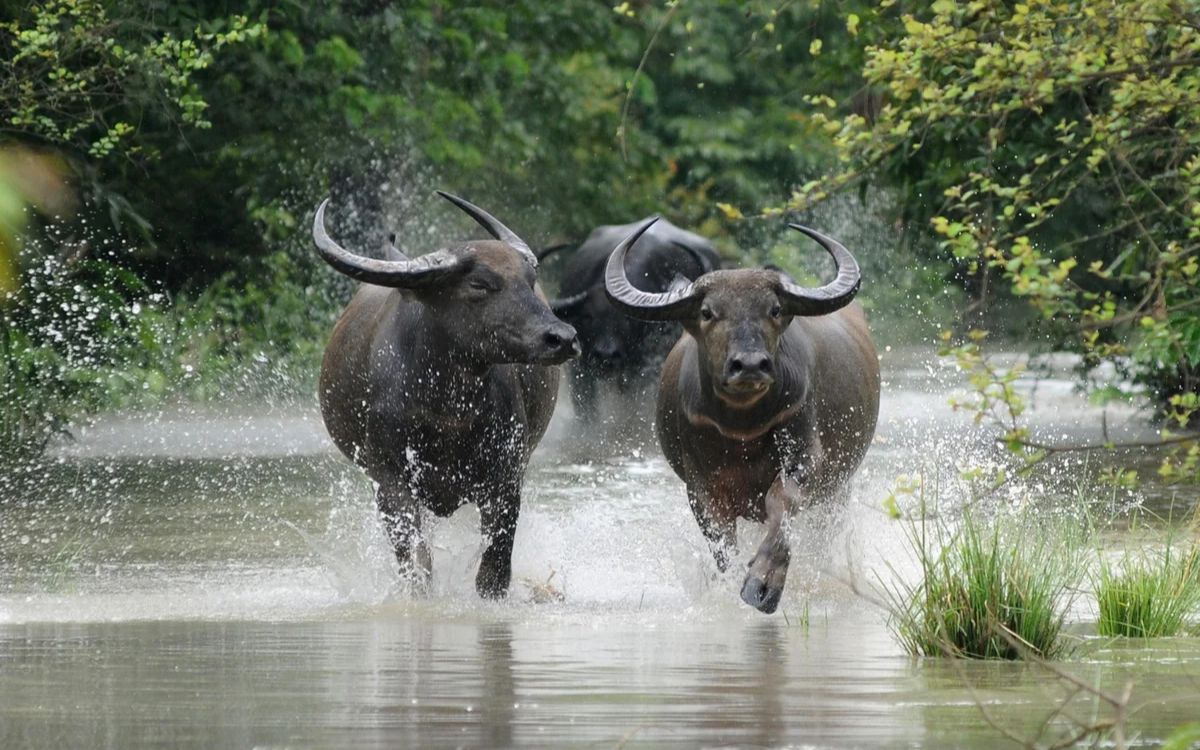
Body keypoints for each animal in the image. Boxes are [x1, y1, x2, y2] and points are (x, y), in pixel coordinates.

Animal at [312, 192, 578, 597]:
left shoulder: (506, 477)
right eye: (480, 284)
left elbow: (494, 567)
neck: (447, 411)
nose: (562, 338)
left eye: (530, 281)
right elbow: (417, 562)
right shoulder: (390, 480)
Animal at [604, 218, 878, 614]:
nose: (749, 365)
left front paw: (762, 583)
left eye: (774, 309)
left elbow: (782, 503)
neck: (741, 427)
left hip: (839, 487)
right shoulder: (700, 485)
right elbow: (721, 542)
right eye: (707, 312)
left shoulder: (807, 456)